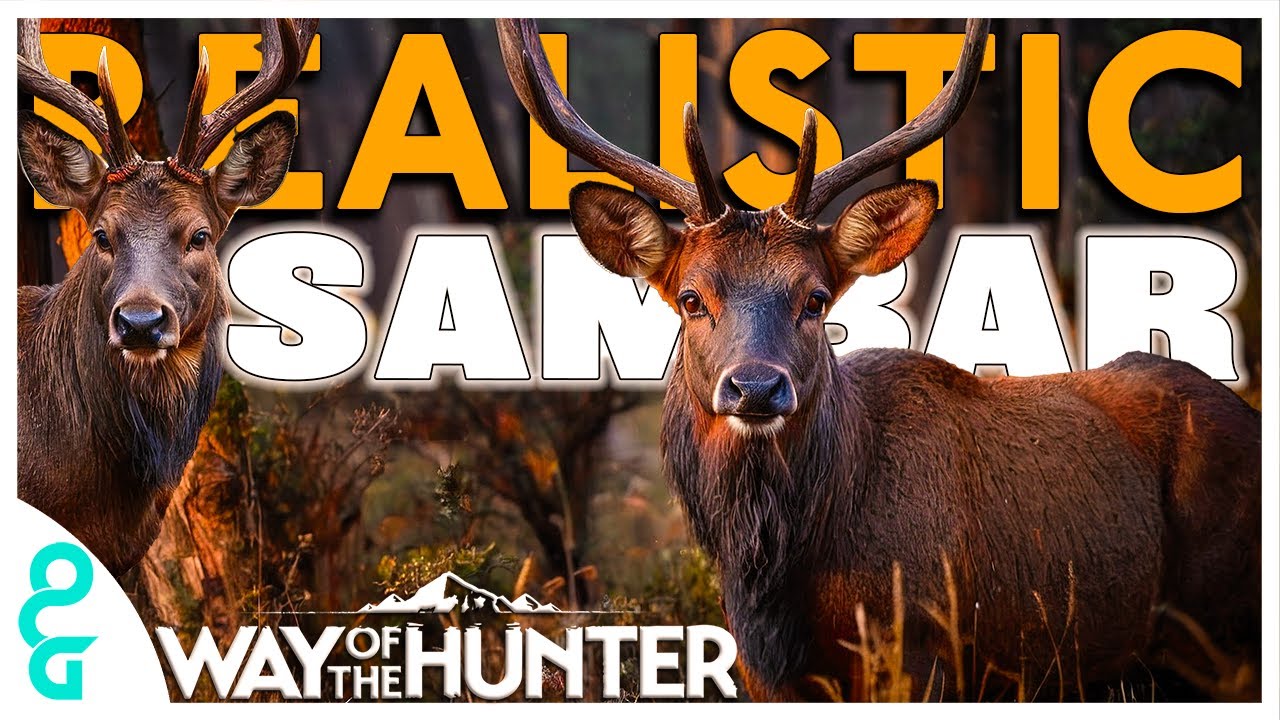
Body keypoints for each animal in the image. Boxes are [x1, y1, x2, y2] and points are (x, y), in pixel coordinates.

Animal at [497, 18, 1260, 700]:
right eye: (691, 297)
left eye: (814, 298)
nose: (755, 388)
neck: (782, 585)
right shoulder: (762, 675)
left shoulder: (924, 650)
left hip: (1223, 634)